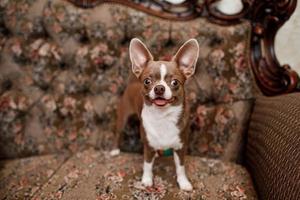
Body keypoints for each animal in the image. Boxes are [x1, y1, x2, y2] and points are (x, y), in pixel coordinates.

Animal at [110, 38, 199, 191]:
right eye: (147, 81)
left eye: (175, 82)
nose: (159, 88)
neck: (163, 117)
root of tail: (132, 83)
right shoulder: (148, 146)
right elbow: (147, 165)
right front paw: (146, 180)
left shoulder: (180, 147)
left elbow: (180, 167)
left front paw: (183, 182)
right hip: (123, 118)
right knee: (118, 133)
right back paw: (115, 150)